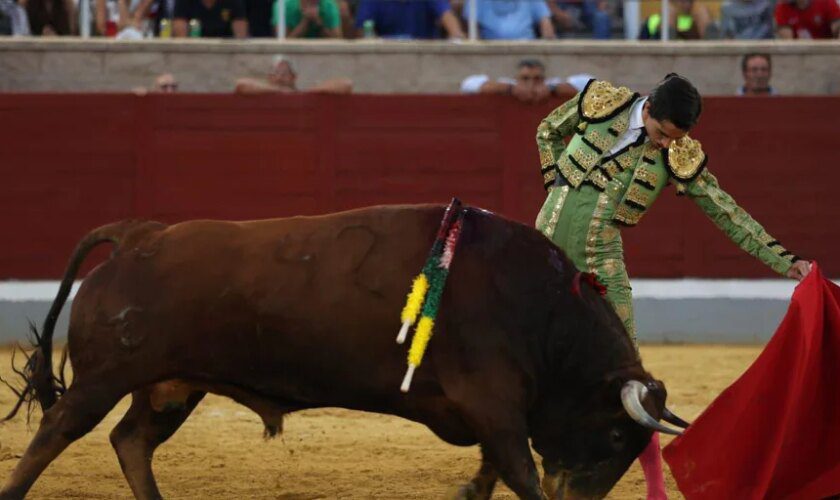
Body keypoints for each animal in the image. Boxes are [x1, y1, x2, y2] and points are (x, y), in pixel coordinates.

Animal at [0, 204, 684, 500]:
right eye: (618, 437)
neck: (535, 308)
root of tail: (139, 234)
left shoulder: (489, 412)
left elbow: (496, 466)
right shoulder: (494, 402)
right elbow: (518, 469)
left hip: (174, 384)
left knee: (131, 441)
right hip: (105, 377)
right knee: (58, 430)